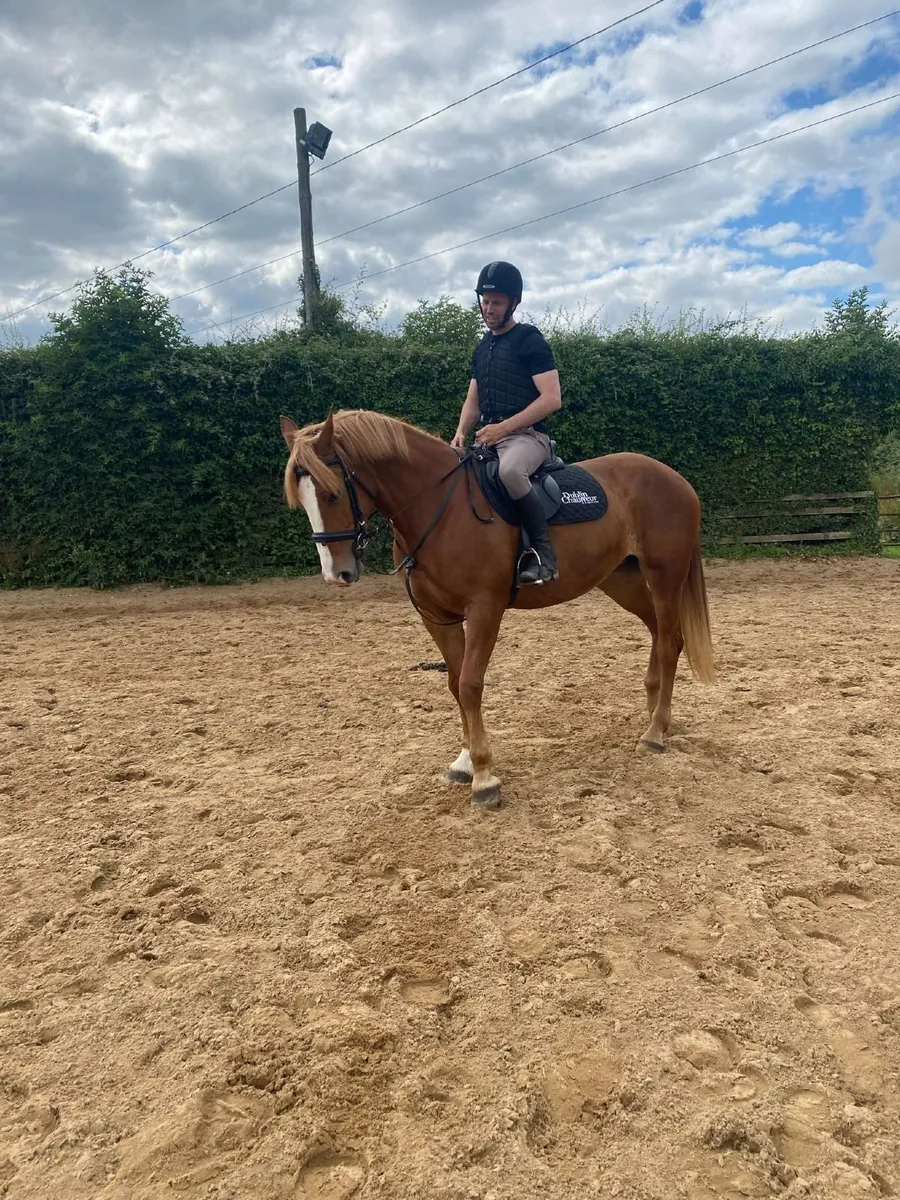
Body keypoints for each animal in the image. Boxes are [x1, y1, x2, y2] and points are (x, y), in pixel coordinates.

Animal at [280, 409, 714, 809]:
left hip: (664, 575)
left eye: (333, 493)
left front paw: (485, 777)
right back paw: (655, 713)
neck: (440, 507)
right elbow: (455, 683)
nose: (338, 573)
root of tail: (675, 479)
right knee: (658, 631)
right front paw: (465, 763)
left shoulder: (485, 608)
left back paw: (655, 732)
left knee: (670, 642)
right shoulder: (437, 617)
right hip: (621, 579)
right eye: (302, 501)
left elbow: (471, 684)